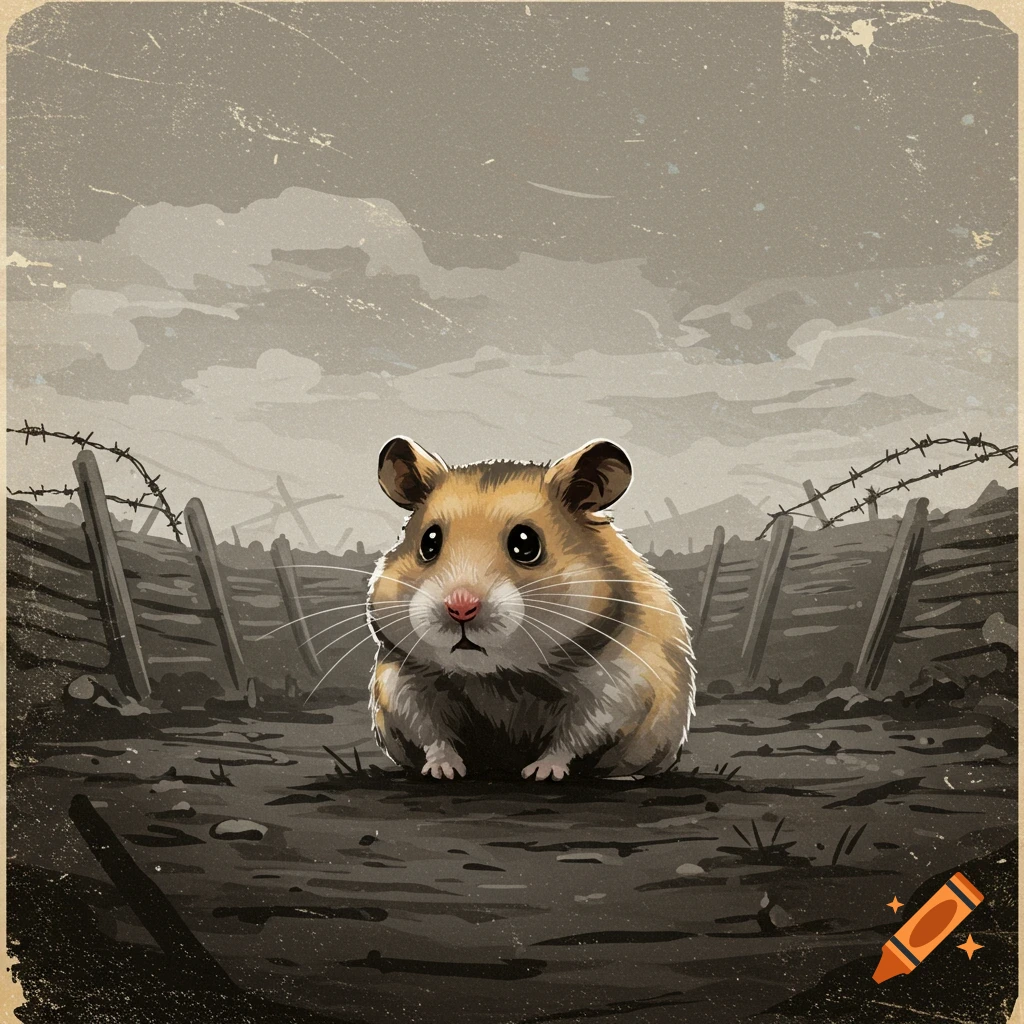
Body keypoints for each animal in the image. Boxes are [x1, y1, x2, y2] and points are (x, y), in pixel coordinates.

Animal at [367, 437, 696, 781]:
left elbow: (575, 737)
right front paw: (442, 772)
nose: (460, 609)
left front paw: (541, 773)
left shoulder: (617, 689)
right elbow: (429, 731)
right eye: (429, 542)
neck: (497, 677)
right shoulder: (401, 683)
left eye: (526, 544)